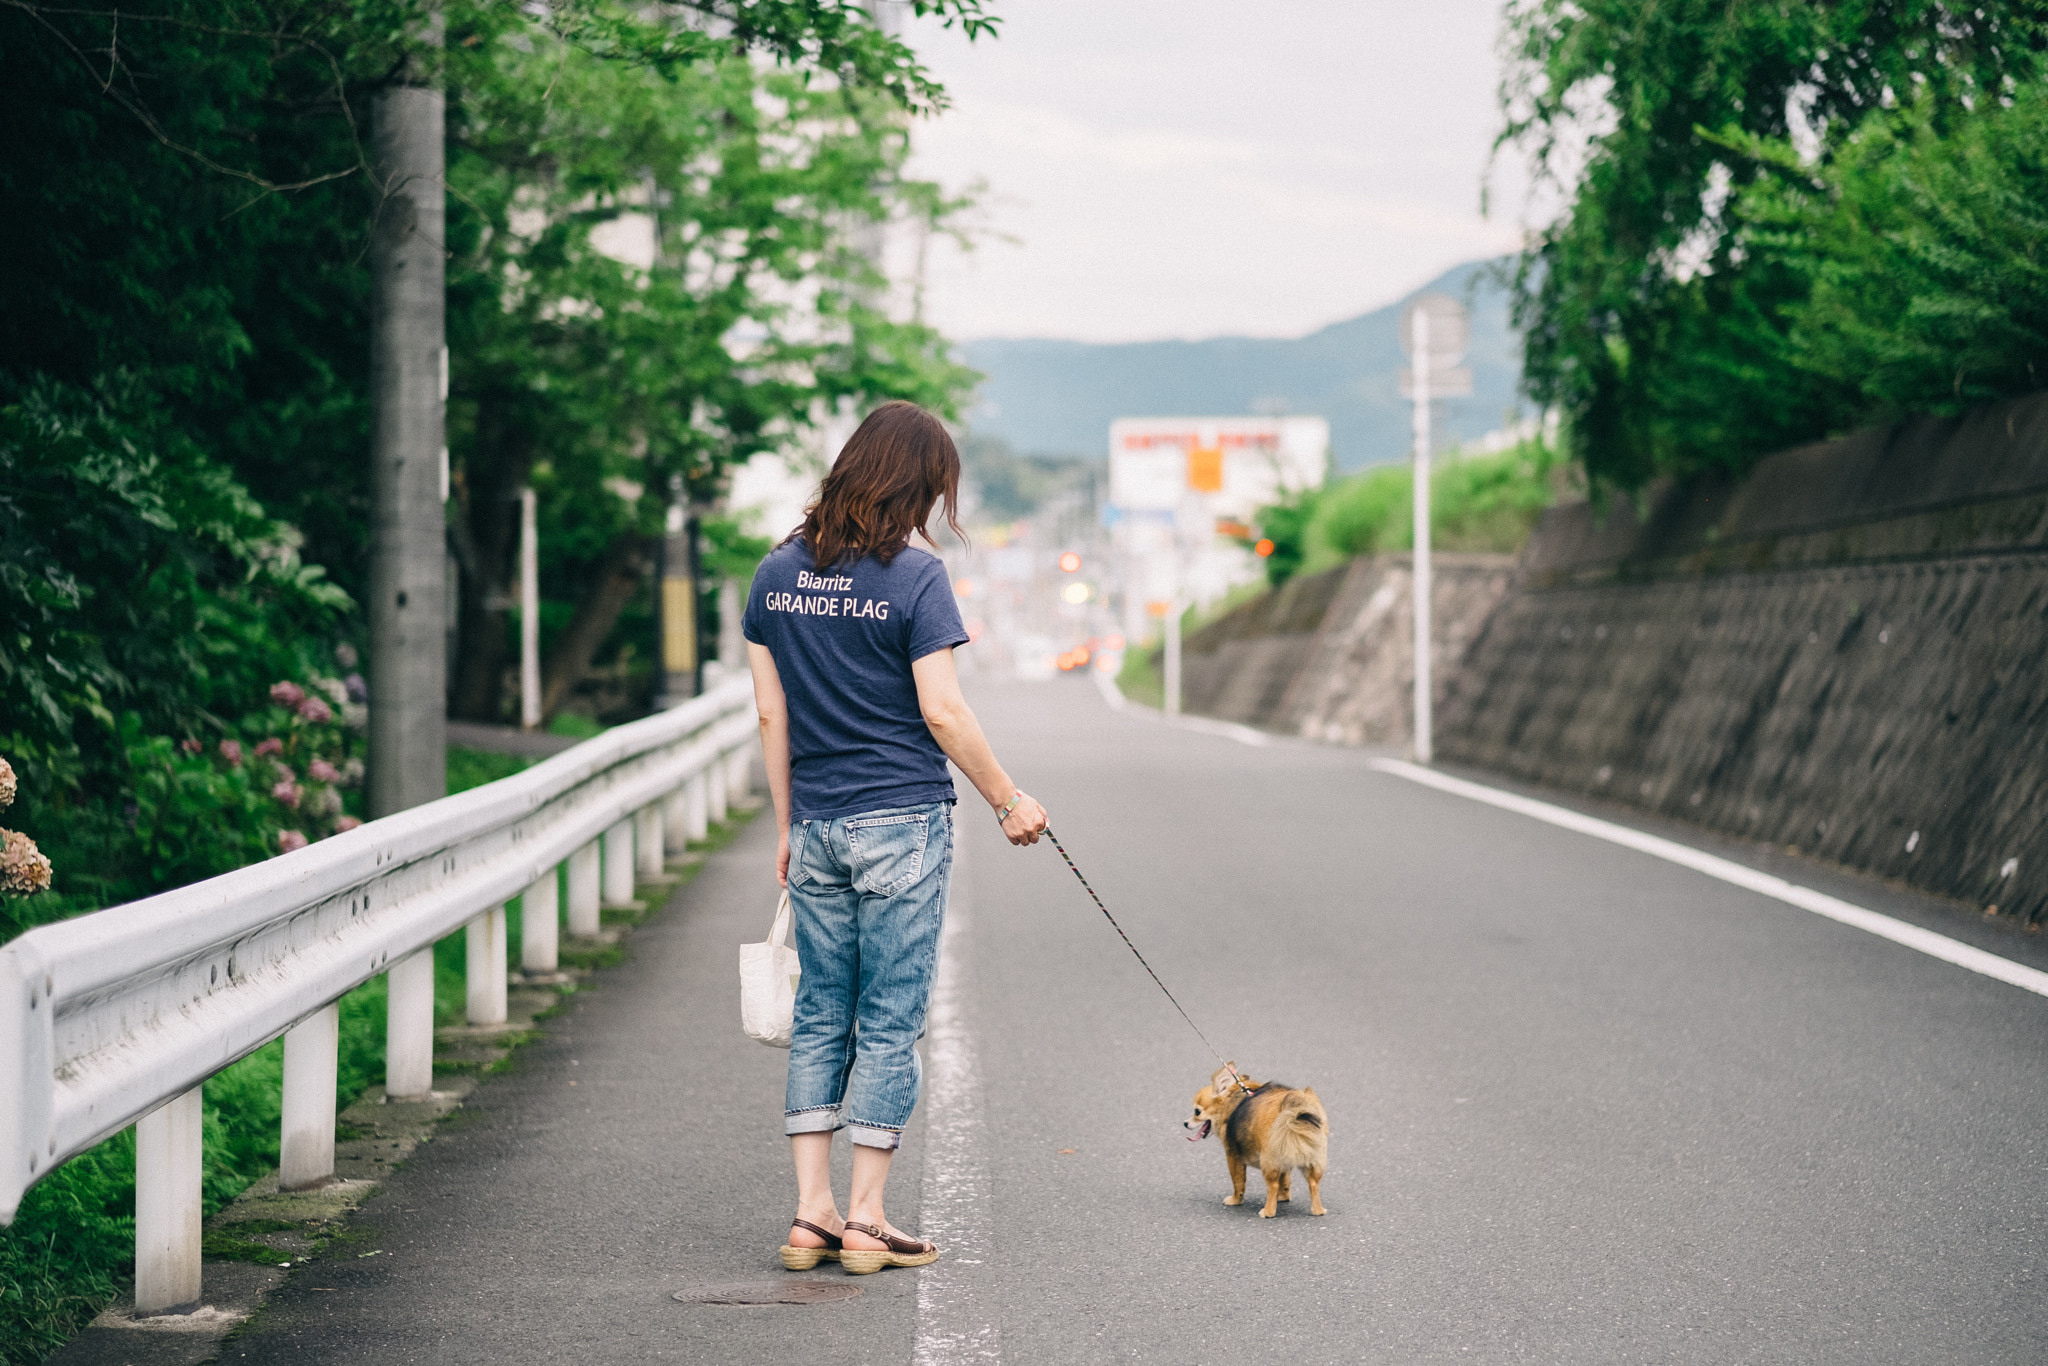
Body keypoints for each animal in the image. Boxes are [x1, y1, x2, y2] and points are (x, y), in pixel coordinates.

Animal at [1187, 1064, 1327, 1220]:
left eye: (1197, 1112)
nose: (1185, 1123)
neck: (1233, 1099)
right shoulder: (1284, 1158)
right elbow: (1284, 1180)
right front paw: (1283, 1197)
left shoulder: (1233, 1156)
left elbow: (1238, 1182)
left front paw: (1235, 1200)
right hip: (1311, 1157)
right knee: (1313, 1184)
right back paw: (1318, 1210)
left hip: (1268, 1160)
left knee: (1272, 1186)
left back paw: (1268, 1211)